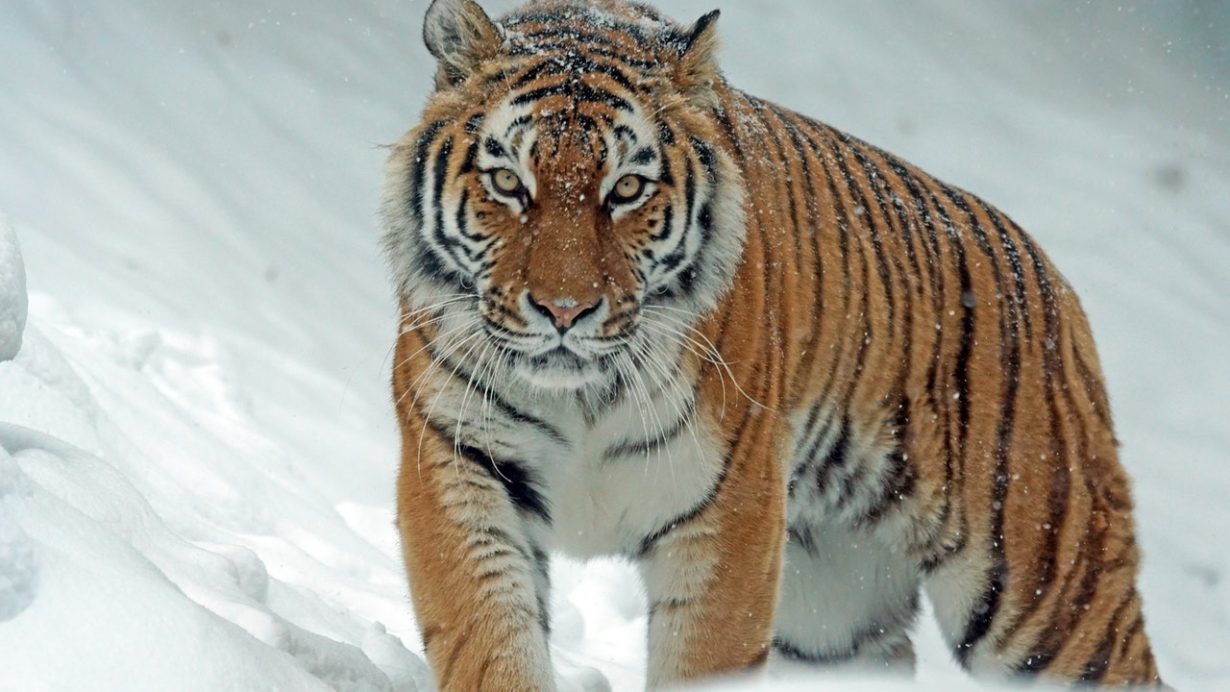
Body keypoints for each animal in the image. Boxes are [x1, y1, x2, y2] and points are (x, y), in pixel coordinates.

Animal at [381, 0, 1163, 689]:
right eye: (507, 182)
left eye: (627, 189)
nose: (565, 310)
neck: (583, 397)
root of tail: (1055, 283)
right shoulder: (460, 466)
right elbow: (490, 642)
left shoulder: (730, 513)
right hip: (833, 613)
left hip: (1048, 593)